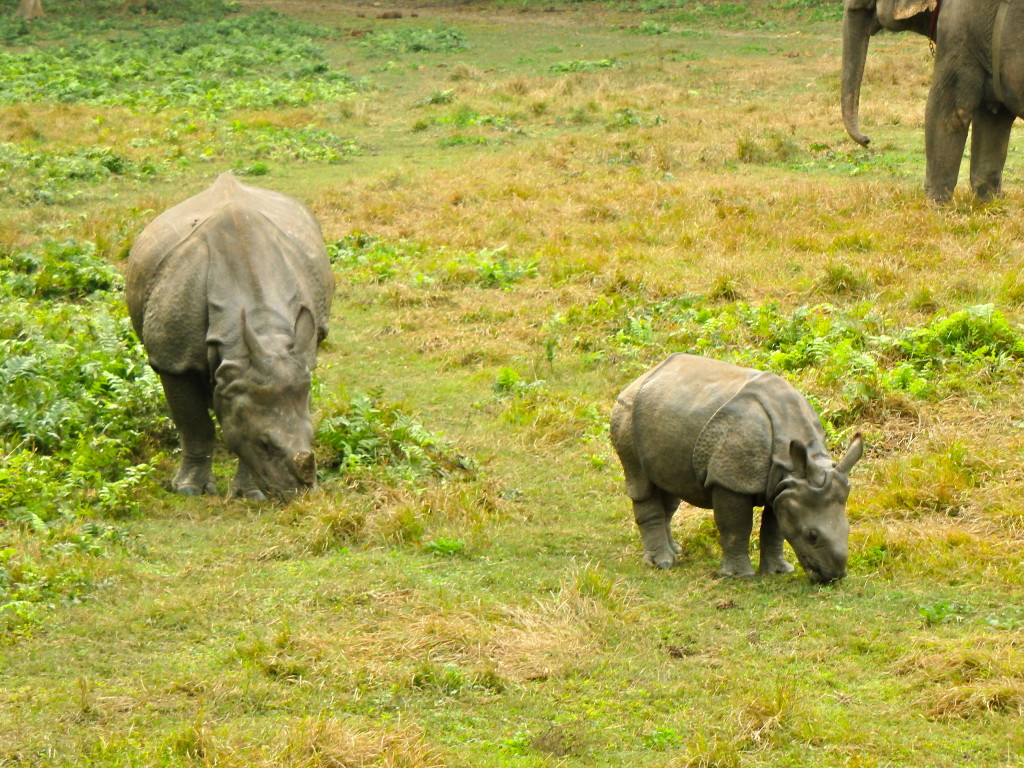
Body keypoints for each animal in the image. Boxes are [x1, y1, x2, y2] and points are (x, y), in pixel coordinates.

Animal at [126, 172, 335, 500]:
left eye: (313, 433)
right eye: (265, 444)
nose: (302, 494)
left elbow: (240, 425)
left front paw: (249, 494)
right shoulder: (174, 359)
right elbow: (195, 423)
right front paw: (189, 489)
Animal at [610, 354, 863, 583]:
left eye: (848, 531)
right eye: (812, 536)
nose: (834, 576)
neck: (794, 465)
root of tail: (639, 379)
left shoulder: (783, 485)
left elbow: (774, 528)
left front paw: (778, 573)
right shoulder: (730, 480)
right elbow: (736, 526)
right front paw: (737, 576)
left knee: (669, 486)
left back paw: (675, 551)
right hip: (626, 414)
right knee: (641, 482)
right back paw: (661, 564)